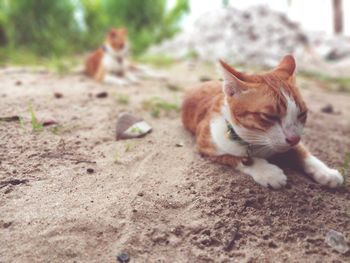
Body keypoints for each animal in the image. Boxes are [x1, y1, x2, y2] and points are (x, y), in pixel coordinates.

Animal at [182, 55, 344, 190]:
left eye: (302, 114)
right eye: (269, 116)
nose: (294, 138)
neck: (259, 143)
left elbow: (303, 152)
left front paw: (325, 172)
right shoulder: (206, 145)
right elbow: (237, 158)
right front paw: (267, 172)